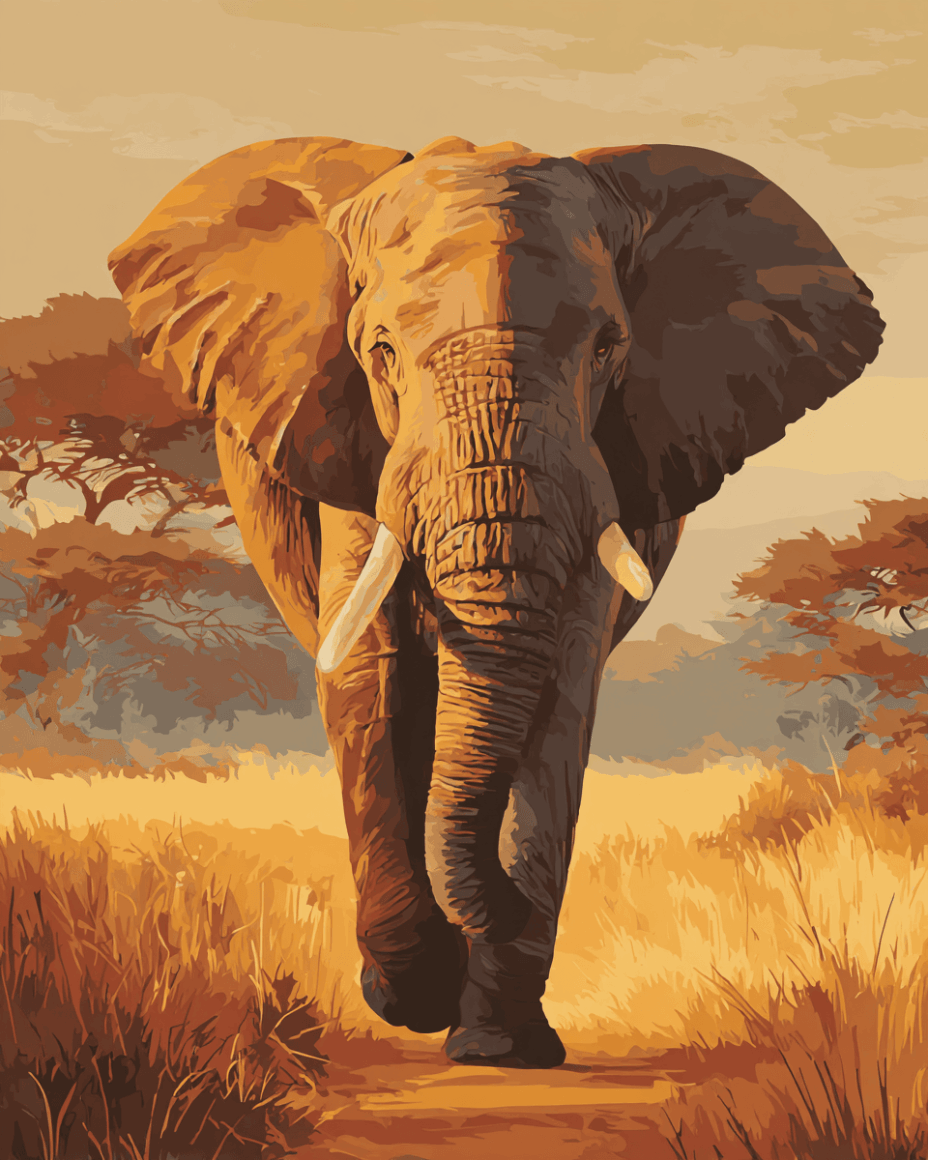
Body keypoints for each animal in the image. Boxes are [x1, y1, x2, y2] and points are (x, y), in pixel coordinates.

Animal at [109, 135, 883, 1069]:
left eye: (607, 348)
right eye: (380, 352)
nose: (503, 908)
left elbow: (563, 687)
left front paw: (498, 1042)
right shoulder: (357, 443)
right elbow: (371, 671)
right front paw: (417, 992)